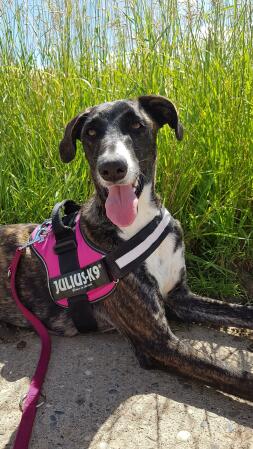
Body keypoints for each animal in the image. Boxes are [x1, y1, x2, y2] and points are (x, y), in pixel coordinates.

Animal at [0, 94, 253, 400]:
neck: (138, 224)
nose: (112, 168)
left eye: (137, 125)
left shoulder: (180, 297)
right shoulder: (157, 342)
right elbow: (237, 375)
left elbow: (243, 312)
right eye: (91, 133)